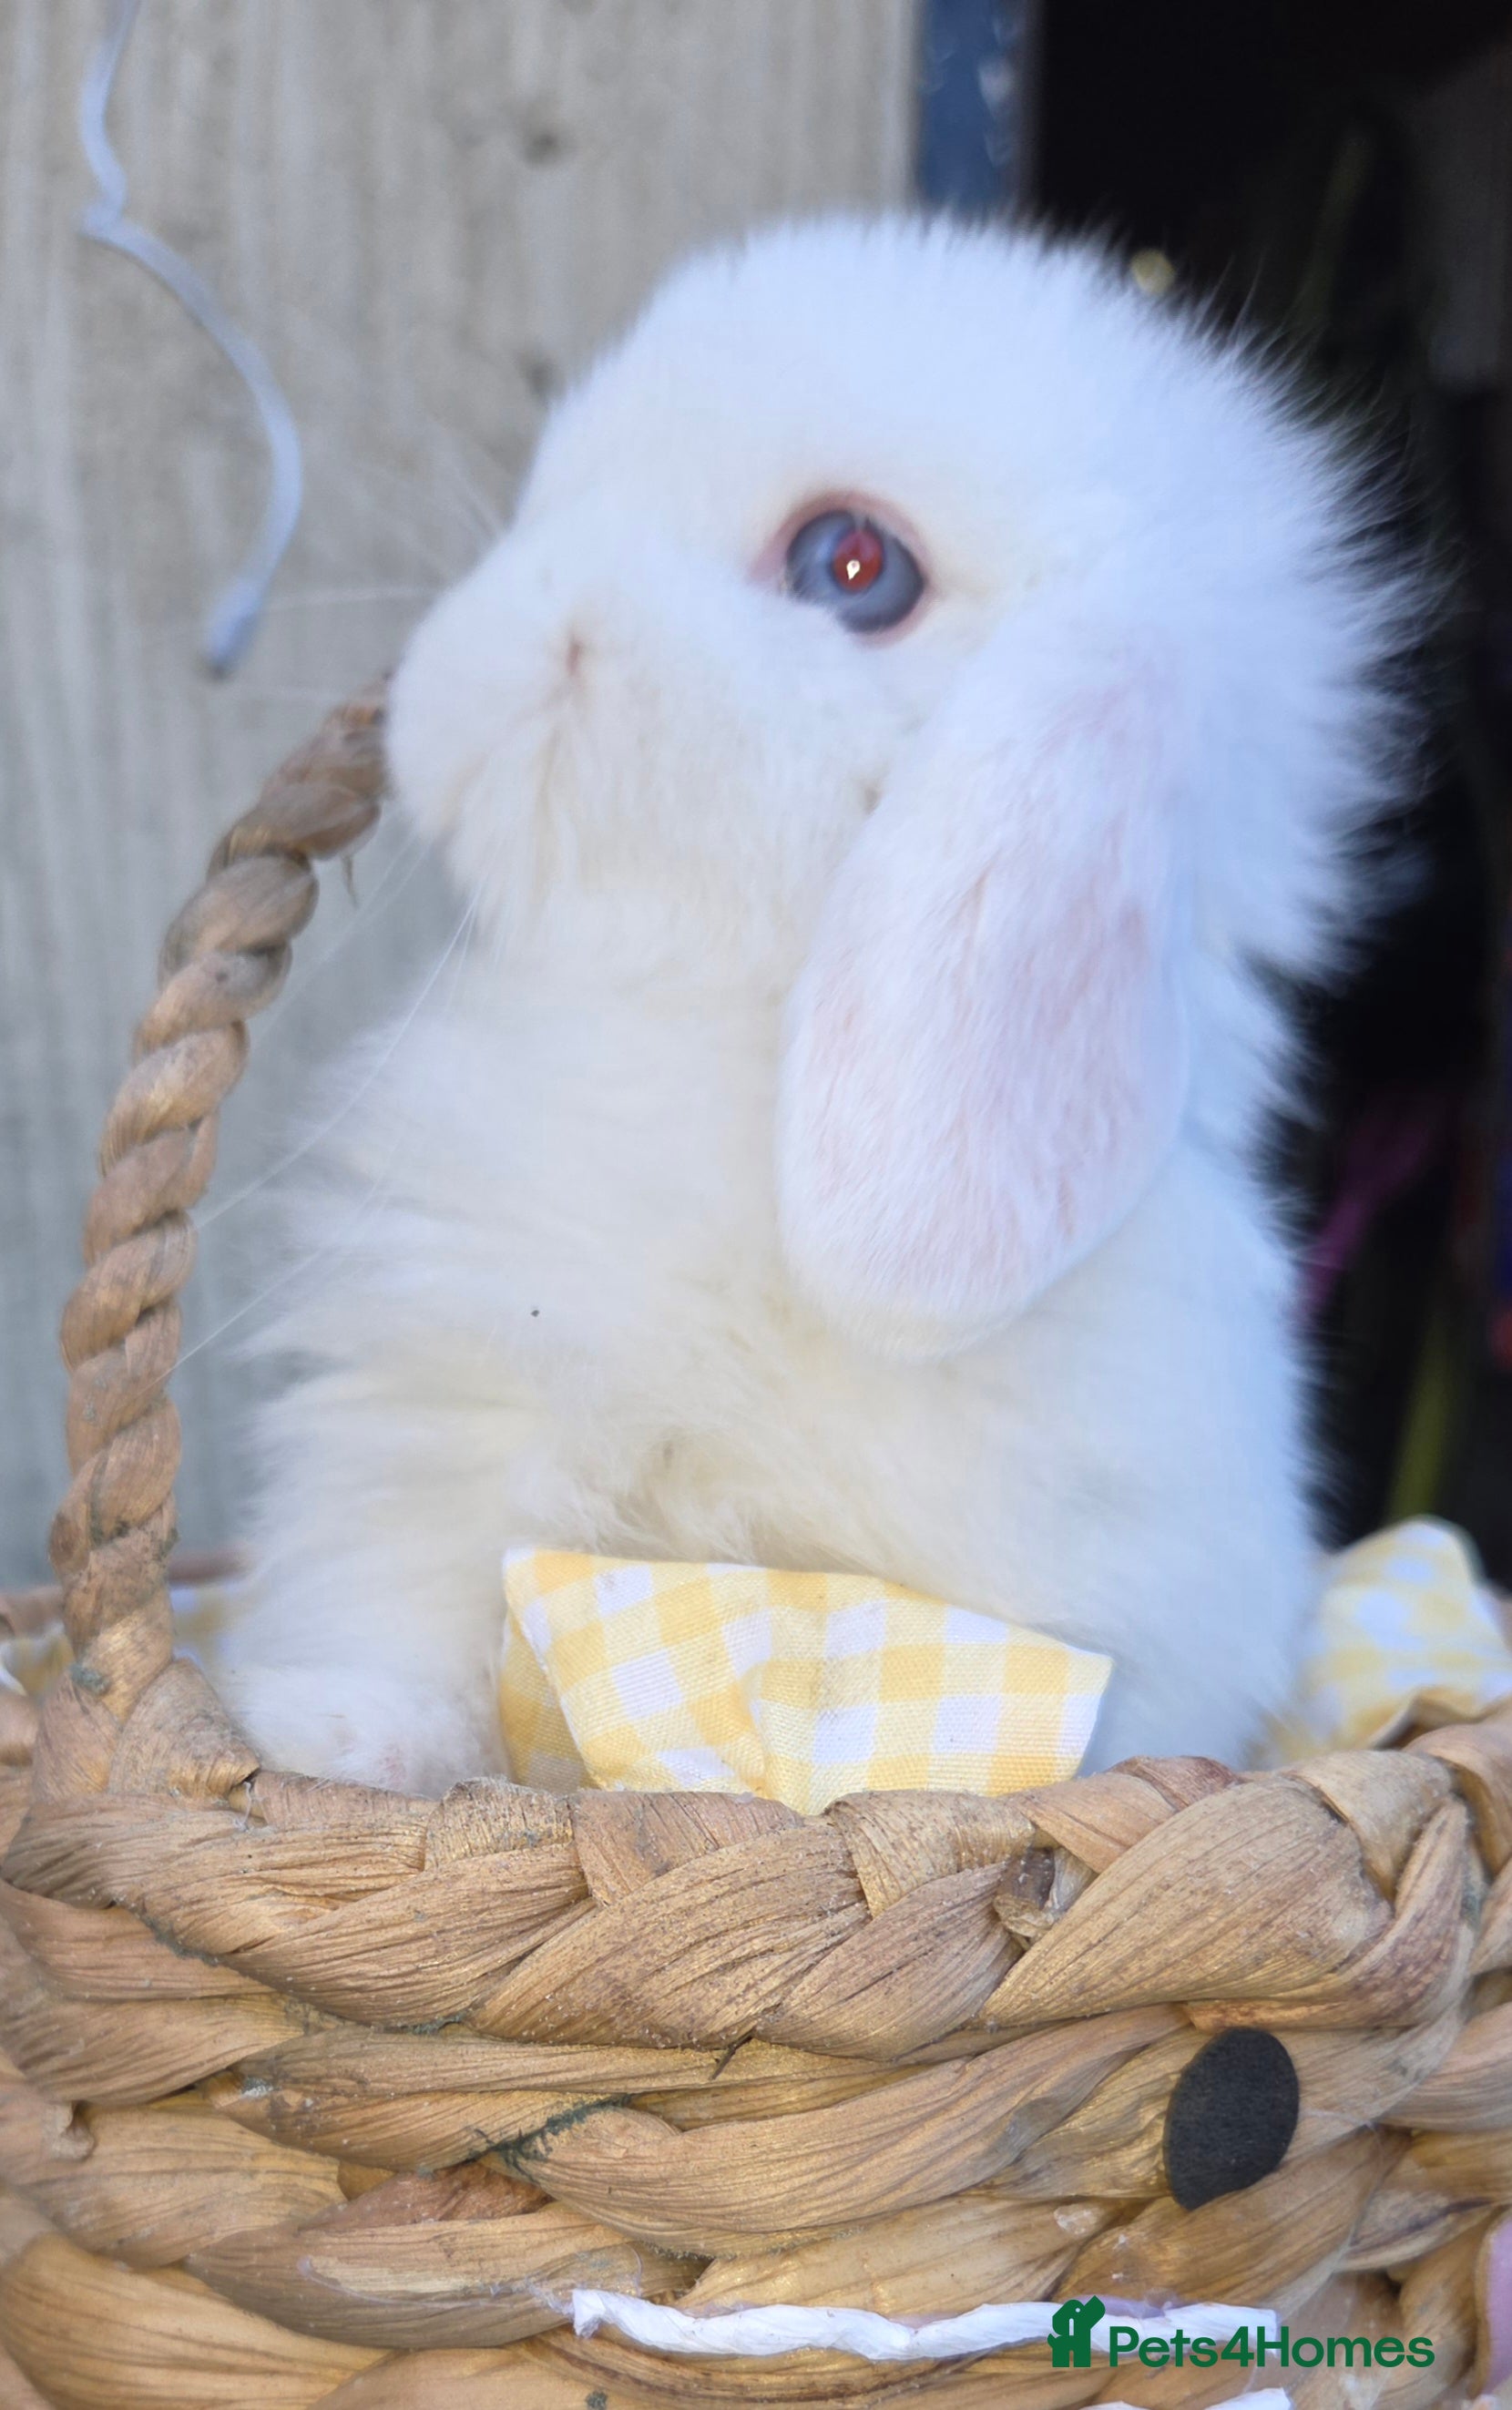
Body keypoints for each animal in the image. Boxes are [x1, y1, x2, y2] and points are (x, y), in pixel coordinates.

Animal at [217, 215, 1414, 1797]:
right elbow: (397, 1605)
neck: (730, 1042)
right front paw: (331, 1735)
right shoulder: (431, 1425)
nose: (454, 669)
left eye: (852, 565)